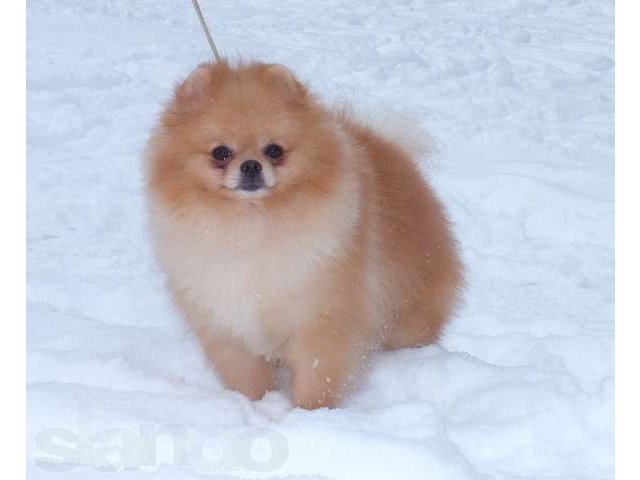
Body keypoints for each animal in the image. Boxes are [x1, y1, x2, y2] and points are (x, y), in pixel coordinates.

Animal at [146, 61, 460, 408]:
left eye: (274, 150)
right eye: (221, 153)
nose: (251, 165)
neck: (251, 225)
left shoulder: (320, 317)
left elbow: (317, 374)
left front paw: (311, 413)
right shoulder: (226, 323)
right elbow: (247, 377)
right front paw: (256, 405)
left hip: (408, 311)